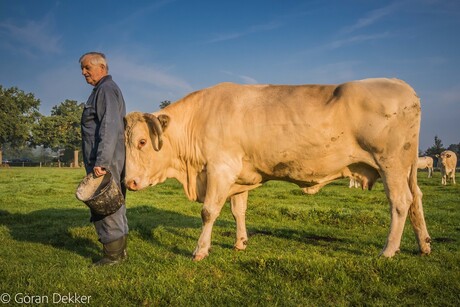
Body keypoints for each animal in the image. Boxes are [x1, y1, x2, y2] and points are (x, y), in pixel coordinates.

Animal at [123, 78, 432, 262]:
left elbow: (209, 212)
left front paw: (200, 250)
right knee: (416, 199)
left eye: (142, 142)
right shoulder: (239, 174)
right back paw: (424, 244)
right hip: (406, 167)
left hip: (391, 163)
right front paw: (240, 242)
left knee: (400, 202)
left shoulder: (221, 169)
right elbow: (238, 210)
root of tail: (402, 85)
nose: (129, 182)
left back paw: (388, 250)